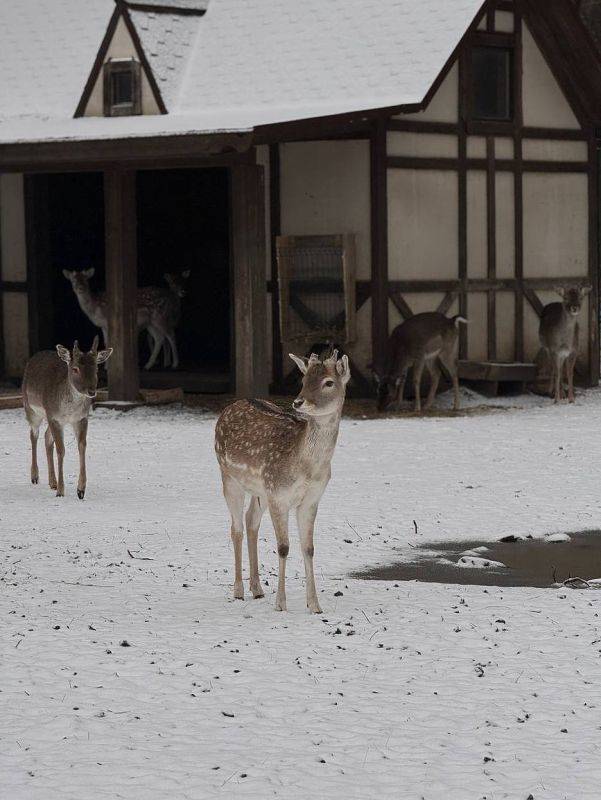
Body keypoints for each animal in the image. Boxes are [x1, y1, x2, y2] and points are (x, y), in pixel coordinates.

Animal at [22, 338, 113, 500]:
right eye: (75, 369)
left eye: (96, 368)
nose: (91, 391)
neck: (69, 411)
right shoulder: (54, 417)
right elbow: (61, 450)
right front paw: (61, 491)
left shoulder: (81, 418)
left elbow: (82, 446)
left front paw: (80, 490)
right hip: (31, 408)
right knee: (34, 434)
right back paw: (35, 476)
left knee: (46, 437)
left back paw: (52, 482)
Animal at [214, 350, 352, 612]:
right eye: (304, 379)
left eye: (328, 382)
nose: (298, 402)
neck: (306, 468)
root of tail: (232, 405)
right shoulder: (279, 494)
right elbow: (284, 547)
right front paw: (281, 604)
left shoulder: (311, 499)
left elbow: (308, 548)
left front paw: (314, 605)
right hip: (229, 476)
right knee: (236, 528)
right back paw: (238, 590)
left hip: (260, 490)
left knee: (250, 520)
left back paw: (257, 588)